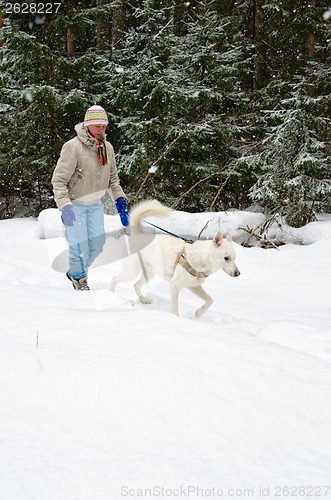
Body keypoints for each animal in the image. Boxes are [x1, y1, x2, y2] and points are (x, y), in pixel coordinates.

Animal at [111, 199, 241, 316]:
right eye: (226, 258)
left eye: (234, 258)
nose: (238, 273)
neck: (200, 259)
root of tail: (138, 234)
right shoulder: (175, 286)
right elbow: (175, 311)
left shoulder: (194, 286)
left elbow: (210, 300)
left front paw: (198, 314)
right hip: (131, 272)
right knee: (115, 279)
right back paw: (111, 294)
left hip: (149, 273)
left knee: (136, 286)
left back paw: (143, 300)